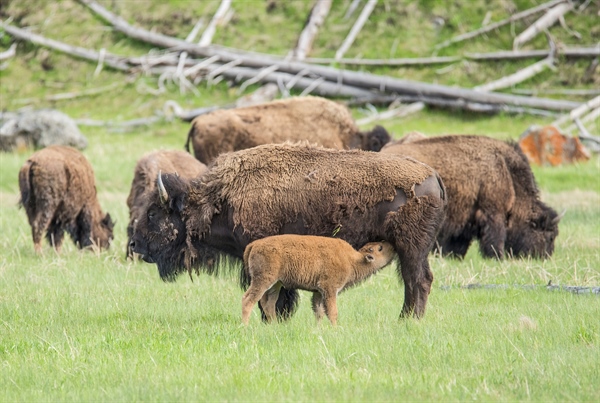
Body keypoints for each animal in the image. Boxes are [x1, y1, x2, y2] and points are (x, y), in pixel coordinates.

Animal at [241, 235, 396, 326]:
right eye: (380, 248)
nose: (392, 245)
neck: (352, 260)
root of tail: (254, 244)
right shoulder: (330, 289)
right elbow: (332, 312)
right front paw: (335, 329)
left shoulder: (318, 292)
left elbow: (319, 312)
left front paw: (318, 329)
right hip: (263, 281)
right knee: (248, 300)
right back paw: (246, 326)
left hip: (275, 284)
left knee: (268, 303)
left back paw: (274, 326)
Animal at [382, 134, 560, 260]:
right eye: (550, 236)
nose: (545, 257)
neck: (507, 173)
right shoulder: (493, 213)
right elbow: (496, 237)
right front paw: (498, 257)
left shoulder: (465, 219)